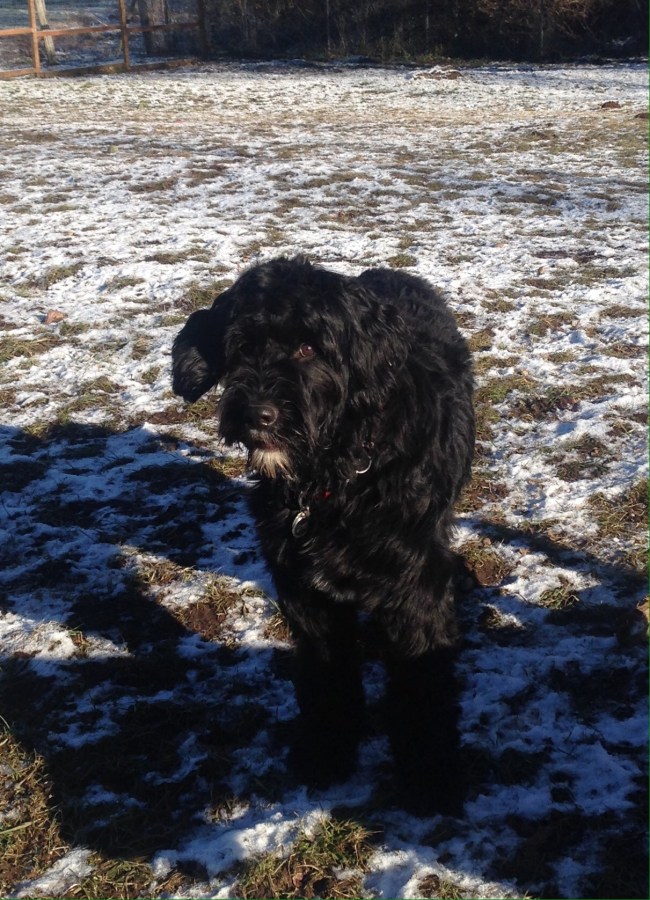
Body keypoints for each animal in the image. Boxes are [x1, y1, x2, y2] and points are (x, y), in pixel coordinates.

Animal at [172, 256, 474, 814]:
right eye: (241, 346)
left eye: (308, 348)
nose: (258, 415)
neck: (336, 481)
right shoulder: (305, 591)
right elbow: (329, 676)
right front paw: (328, 752)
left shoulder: (415, 585)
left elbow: (422, 684)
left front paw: (430, 776)